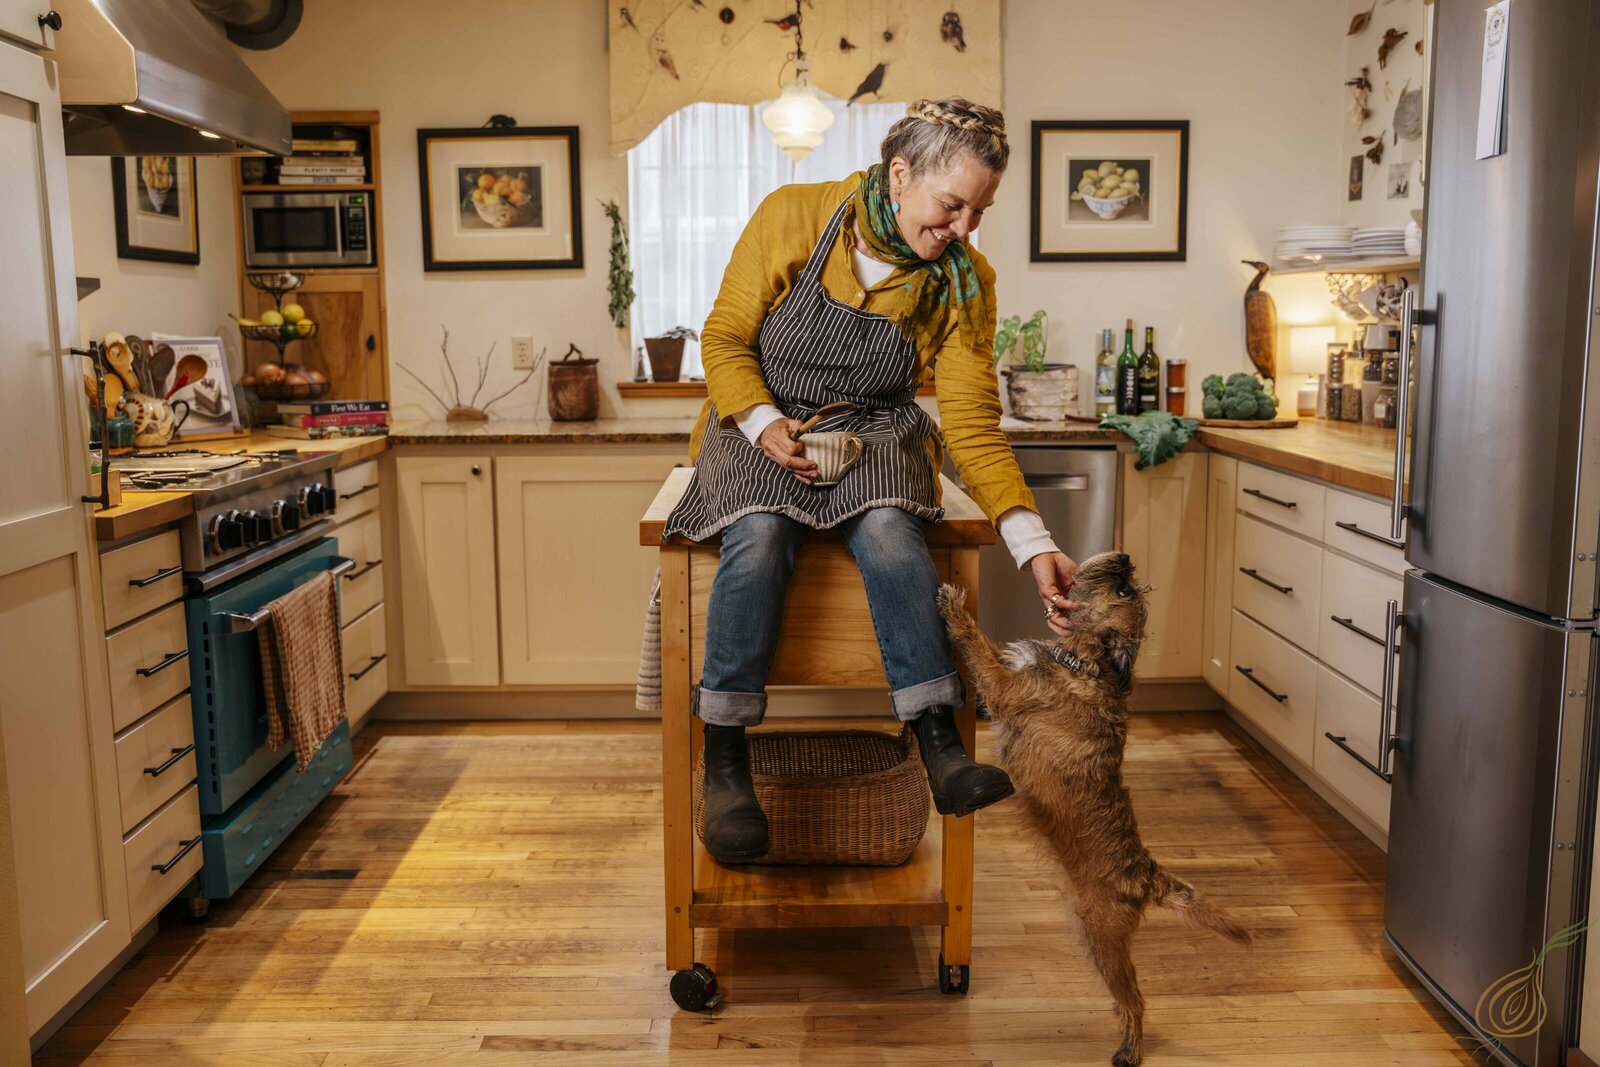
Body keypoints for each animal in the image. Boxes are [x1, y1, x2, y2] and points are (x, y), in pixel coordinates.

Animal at [934, 556, 1248, 1062]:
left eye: (1122, 590)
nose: (1123, 559)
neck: (1083, 662)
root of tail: (1147, 873)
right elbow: (989, 649)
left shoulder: (1002, 687)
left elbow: (977, 645)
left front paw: (954, 607)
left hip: (1102, 937)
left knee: (1135, 998)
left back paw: (1130, 1050)